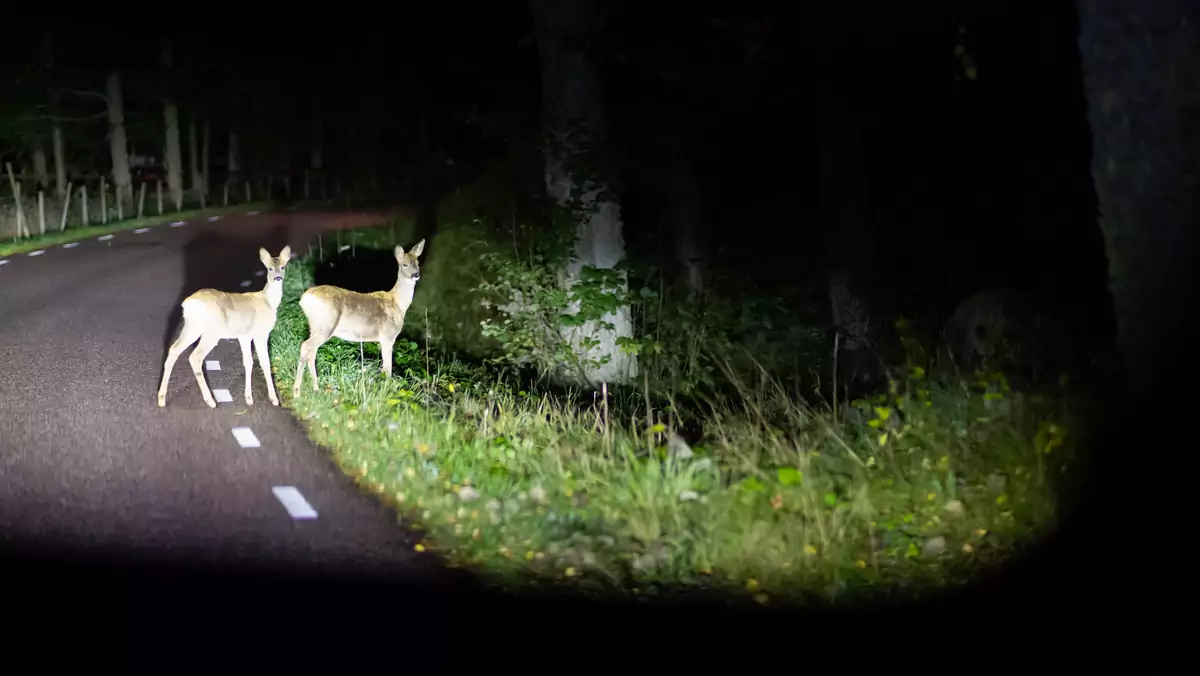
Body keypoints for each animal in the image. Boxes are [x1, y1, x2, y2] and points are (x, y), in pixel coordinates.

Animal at [157, 247, 292, 410]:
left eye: (283, 267)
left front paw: (248, 398)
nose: (278, 278)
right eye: (270, 268)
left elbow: (248, 362)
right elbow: (265, 362)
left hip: (192, 327)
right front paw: (274, 399)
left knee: (174, 349)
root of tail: (189, 304)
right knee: (195, 357)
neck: (268, 301)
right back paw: (210, 401)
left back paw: (161, 398)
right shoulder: (261, 333)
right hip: (211, 331)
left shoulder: (244, 335)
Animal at [295, 237, 427, 396]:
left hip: (316, 327)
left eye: (418, 262)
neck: (397, 303)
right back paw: (297, 391)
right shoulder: (387, 336)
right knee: (305, 346)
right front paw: (387, 389)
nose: (416, 275)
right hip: (325, 326)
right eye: (404, 264)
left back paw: (315, 388)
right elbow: (388, 368)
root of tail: (304, 299)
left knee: (311, 352)